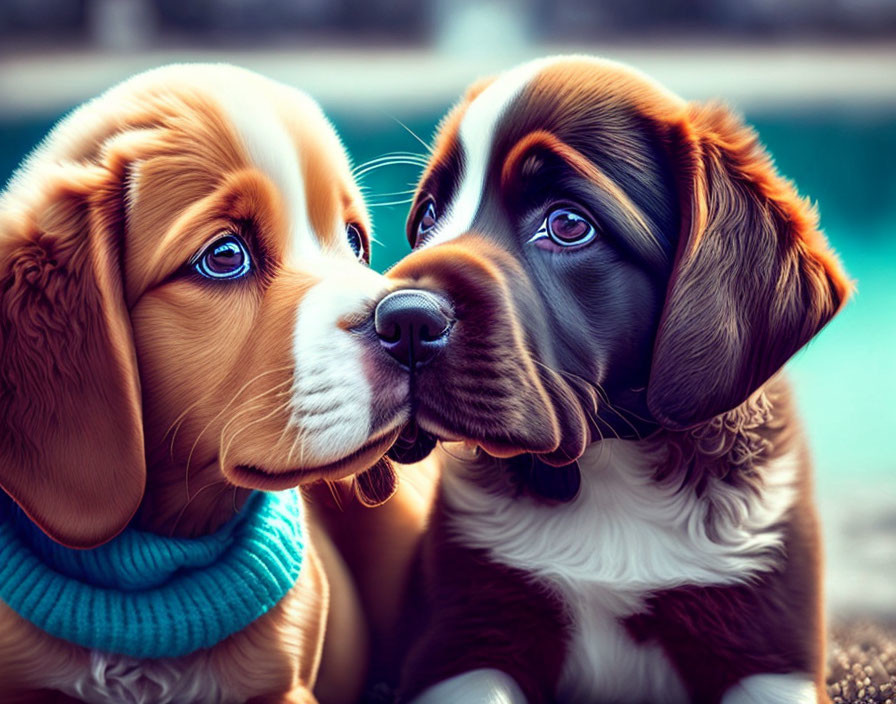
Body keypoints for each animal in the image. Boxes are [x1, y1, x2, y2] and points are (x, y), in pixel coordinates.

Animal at [378, 56, 856, 704]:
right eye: (428, 217)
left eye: (567, 225)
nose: (398, 320)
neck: (612, 465)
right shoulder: (463, 642)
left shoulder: (768, 654)